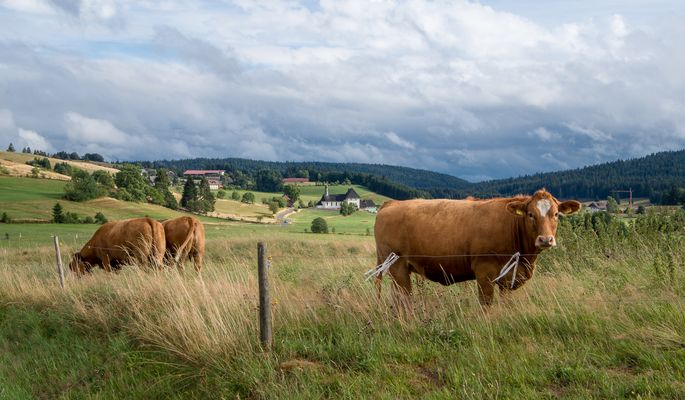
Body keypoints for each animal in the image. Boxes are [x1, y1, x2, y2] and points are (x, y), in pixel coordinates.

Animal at [373, 189, 581, 308]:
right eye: (530, 214)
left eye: (556, 214)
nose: (545, 239)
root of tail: (392, 203)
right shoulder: (484, 271)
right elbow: (486, 303)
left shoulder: (508, 277)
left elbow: (506, 304)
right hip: (397, 265)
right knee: (404, 298)